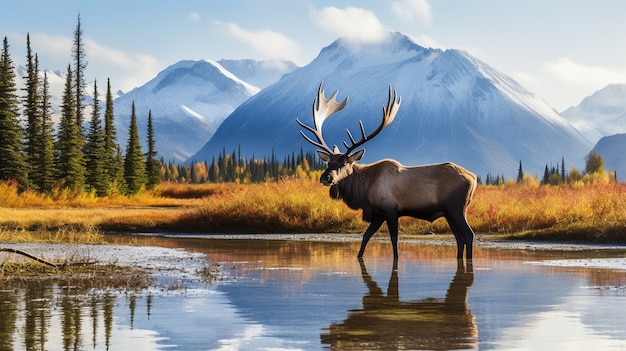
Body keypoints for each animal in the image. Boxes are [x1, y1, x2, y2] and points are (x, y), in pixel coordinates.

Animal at [294, 84, 476, 262]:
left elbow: (394, 240)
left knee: (469, 235)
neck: (364, 191)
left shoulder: (390, 210)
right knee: (459, 238)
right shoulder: (377, 213)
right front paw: (359, 257)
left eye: (344, 163)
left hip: (456, 208)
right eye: (328, 162)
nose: (325, 177)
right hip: (448, 213)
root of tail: (473, 178)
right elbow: (366, 236)